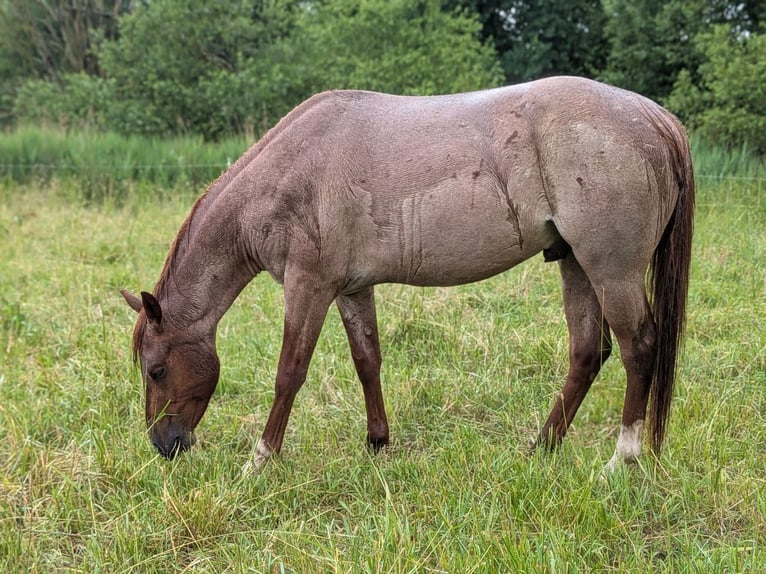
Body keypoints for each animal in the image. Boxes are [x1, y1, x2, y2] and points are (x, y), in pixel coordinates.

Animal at [121, 76, 694, 473]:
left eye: (156, 370)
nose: (163, 445)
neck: (292, 170)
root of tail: (655, 118)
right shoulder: (351, 290)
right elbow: (367, 361)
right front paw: (377, 444)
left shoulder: (308, 288)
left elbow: (289, 373)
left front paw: (260, 460)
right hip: (575, 264)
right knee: (587, 353)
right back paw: (541, 448)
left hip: (611, 271)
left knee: (639, 348)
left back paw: (623, 457)